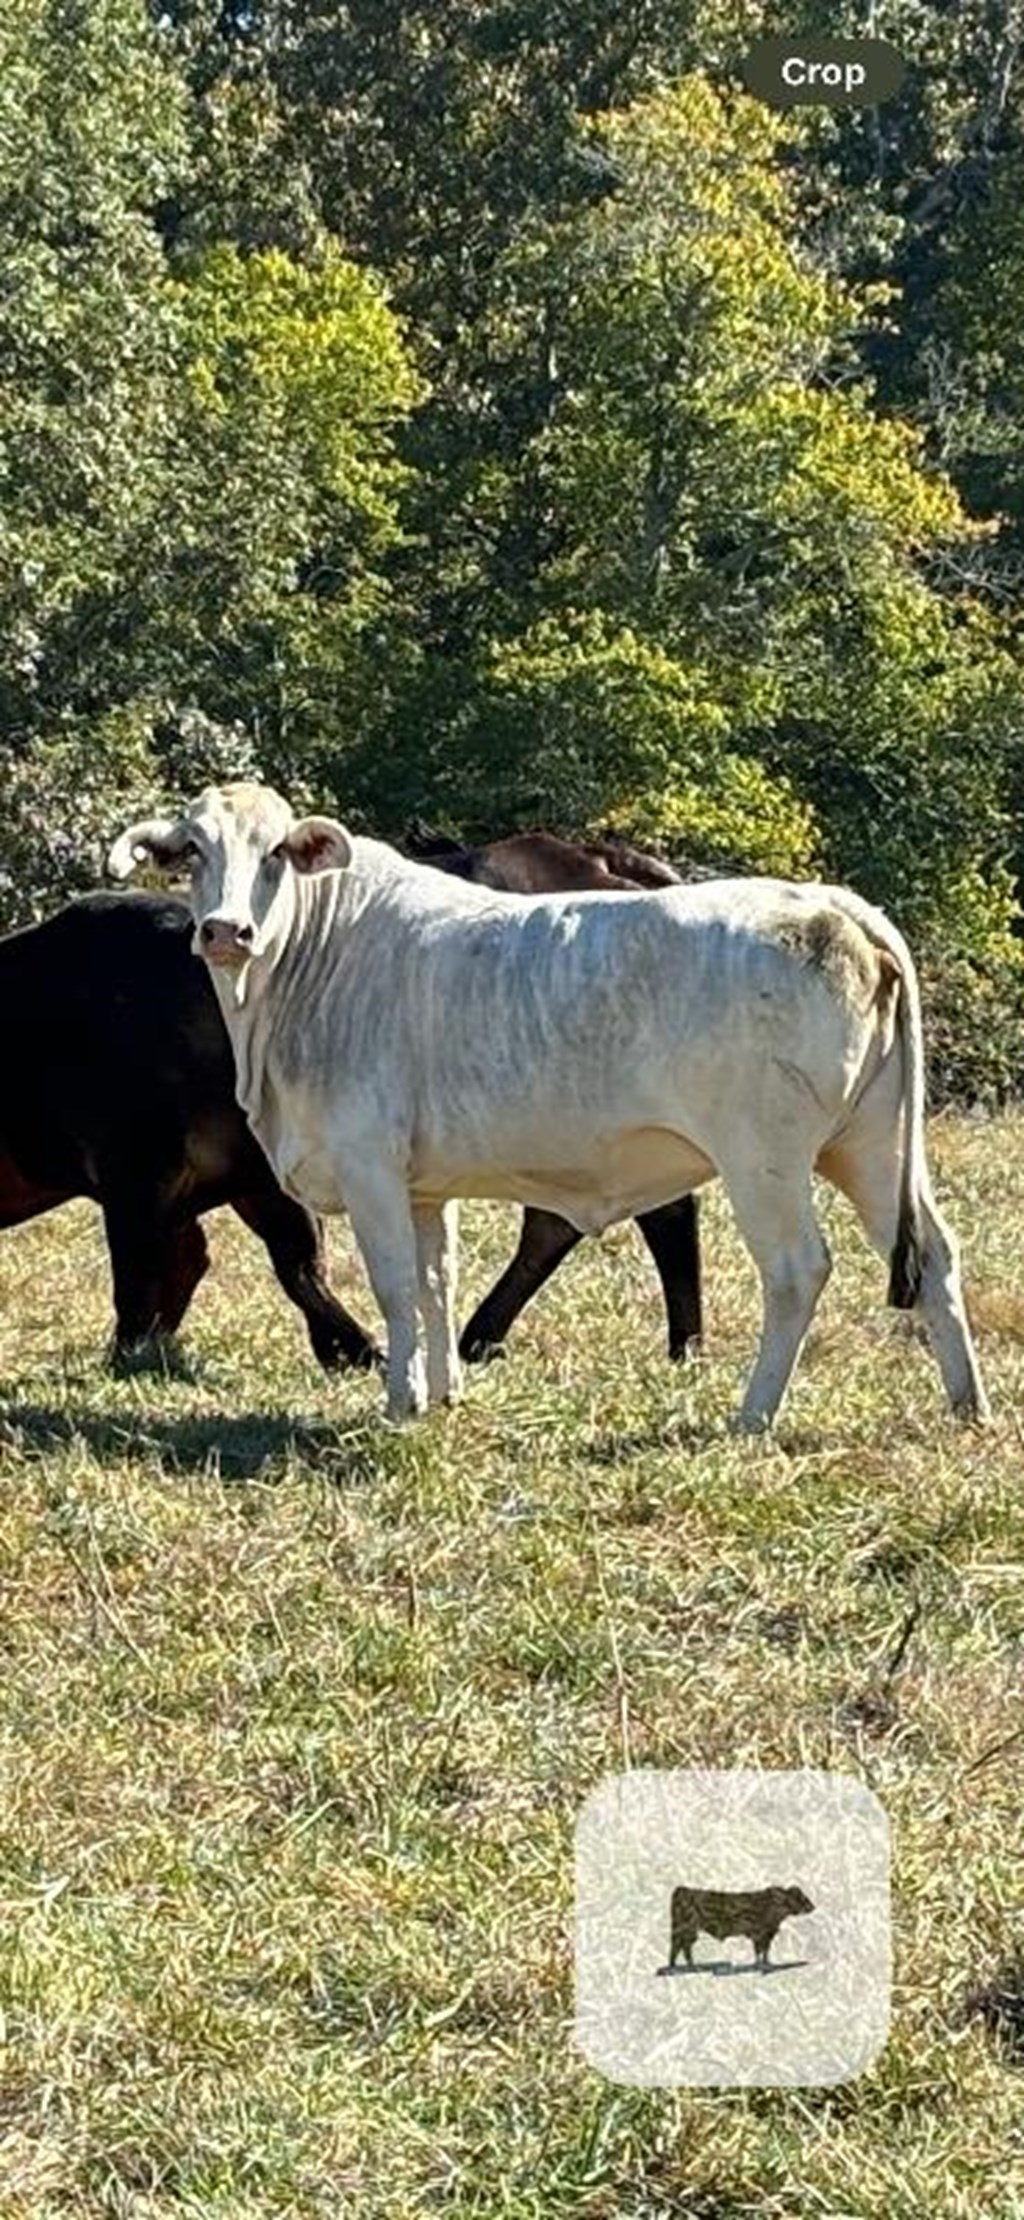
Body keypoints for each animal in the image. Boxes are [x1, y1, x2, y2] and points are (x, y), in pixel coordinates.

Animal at [109, 790, 990, 1429]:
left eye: (276, 855)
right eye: (194, 851)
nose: (226, 931)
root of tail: (836, 906)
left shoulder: (368, 1167)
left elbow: (394, 1285)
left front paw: (401, 1402)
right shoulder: (424, 1185)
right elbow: (435, 1280)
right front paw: (443, 1393)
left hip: (763, 1158)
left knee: (797, 1270)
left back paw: (754, 1414)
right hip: (869, 1146)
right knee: (937, 1255)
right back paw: (967, 1405)